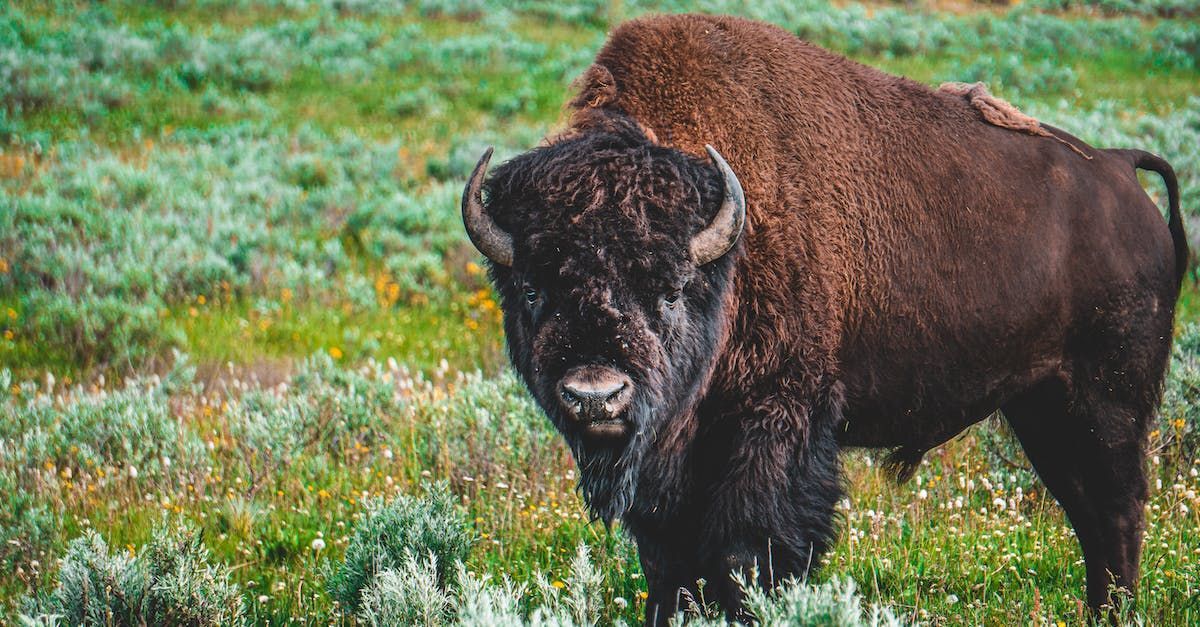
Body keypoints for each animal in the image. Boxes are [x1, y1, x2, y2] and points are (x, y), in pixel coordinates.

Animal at [456, 13, 1180, 619]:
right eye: (531, 289)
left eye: (669, 288)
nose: (596, 395)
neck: (727, 252)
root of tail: (1121, 172)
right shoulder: (670, 467)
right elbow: (668, 563)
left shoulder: (776, 423)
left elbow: (747, 553)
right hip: (1040, 407)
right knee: (1090, 511)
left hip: (1105, 402)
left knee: (1116, 510)